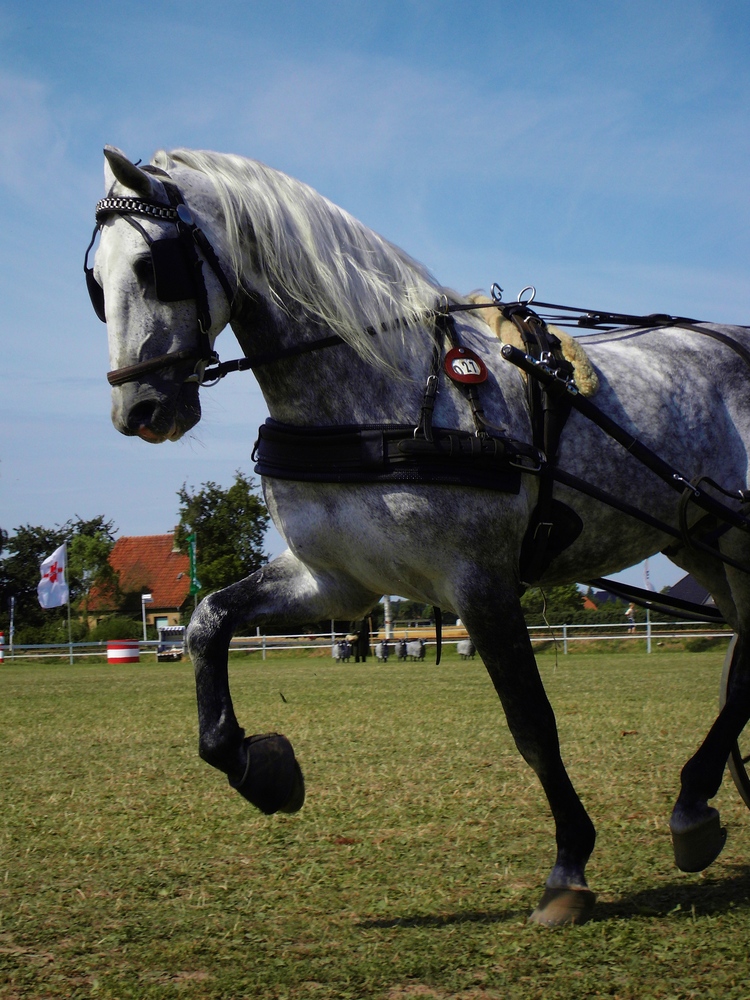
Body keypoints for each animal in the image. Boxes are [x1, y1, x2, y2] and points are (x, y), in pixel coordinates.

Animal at [91, 145, 750, 924]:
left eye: (151, 266)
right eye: (96, 281)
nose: (139, 409)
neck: (386, 400)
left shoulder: (482, 585)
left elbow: (533, 724)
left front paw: (569, 865)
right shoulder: (335, 580)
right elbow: (207, 622)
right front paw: (261, 769)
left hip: (734, 543)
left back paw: (692, 805)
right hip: (702, 543)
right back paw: (697, 803)